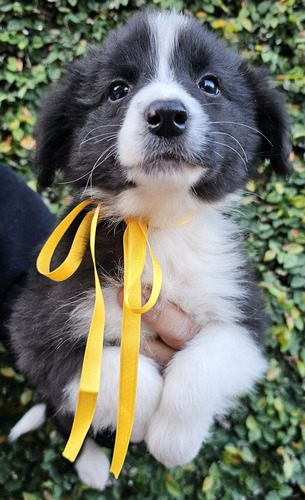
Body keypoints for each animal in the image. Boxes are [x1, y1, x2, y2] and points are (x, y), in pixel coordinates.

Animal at [7, 9, 290, 490]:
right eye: (117, 89)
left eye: (209, 84)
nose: (168, 115)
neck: (156, 227)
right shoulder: (35, 330)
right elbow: (121, 373)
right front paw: (134, 425)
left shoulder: (243, 317)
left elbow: (203, 363)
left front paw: (175, 442)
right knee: (67, 420)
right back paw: (92, 464)